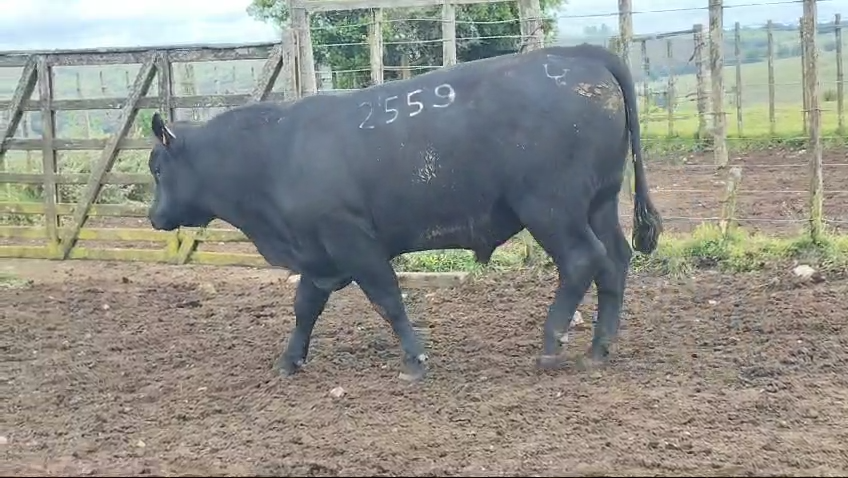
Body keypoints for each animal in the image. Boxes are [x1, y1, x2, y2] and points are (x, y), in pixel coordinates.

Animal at [146, 43, 664, 382]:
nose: (153, 217)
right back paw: (599, 349)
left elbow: (387, 299)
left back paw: (551, 345)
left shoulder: (353, 241)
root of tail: (582, 55)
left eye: (156, 167)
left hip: (552, 208)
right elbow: (305, 306)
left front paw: (415, 361)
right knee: (614, 262)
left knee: (582, 261)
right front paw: (289, 360)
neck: (275, 154)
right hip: (597, 204)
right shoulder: (319, 253)